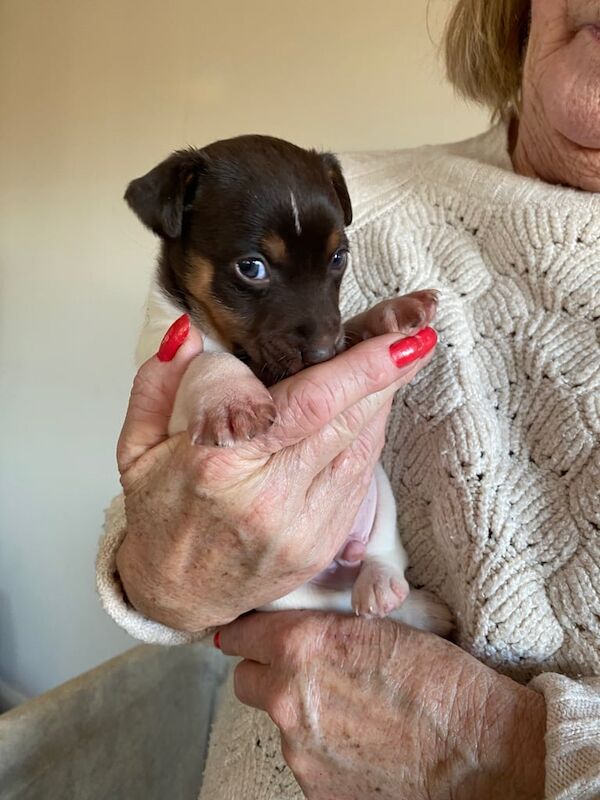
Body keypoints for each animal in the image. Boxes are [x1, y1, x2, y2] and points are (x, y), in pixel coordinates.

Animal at [126, 138, 452, 636]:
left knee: (385, 555)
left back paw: (384, 586)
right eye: (251, 267)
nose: (322, 354)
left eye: (338, 258)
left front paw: (392, 312)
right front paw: (232, 399)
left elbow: (353, 326)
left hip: (381, 495)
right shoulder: (168, 363)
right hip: (284, 592)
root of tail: (339, 566)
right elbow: (208, 358)